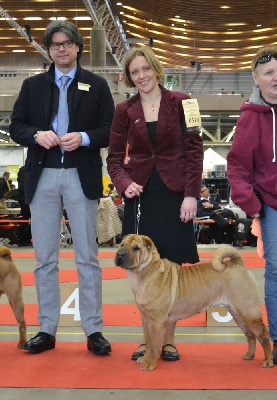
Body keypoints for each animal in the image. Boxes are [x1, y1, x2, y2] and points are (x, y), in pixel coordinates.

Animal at [114, 233, 272, 370]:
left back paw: (268, 361)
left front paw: (150, 364)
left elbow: (154, 344)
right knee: (250, 334)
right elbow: (148, 340)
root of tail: (238, 265)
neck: (144, 273)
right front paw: (144, 358)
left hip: (249, 311)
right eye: (121, 244)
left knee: (263, 335)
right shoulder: (146, 319)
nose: (120, 254)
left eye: (136, 248)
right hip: (237, 314)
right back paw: (249, 355)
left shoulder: (157, 321)